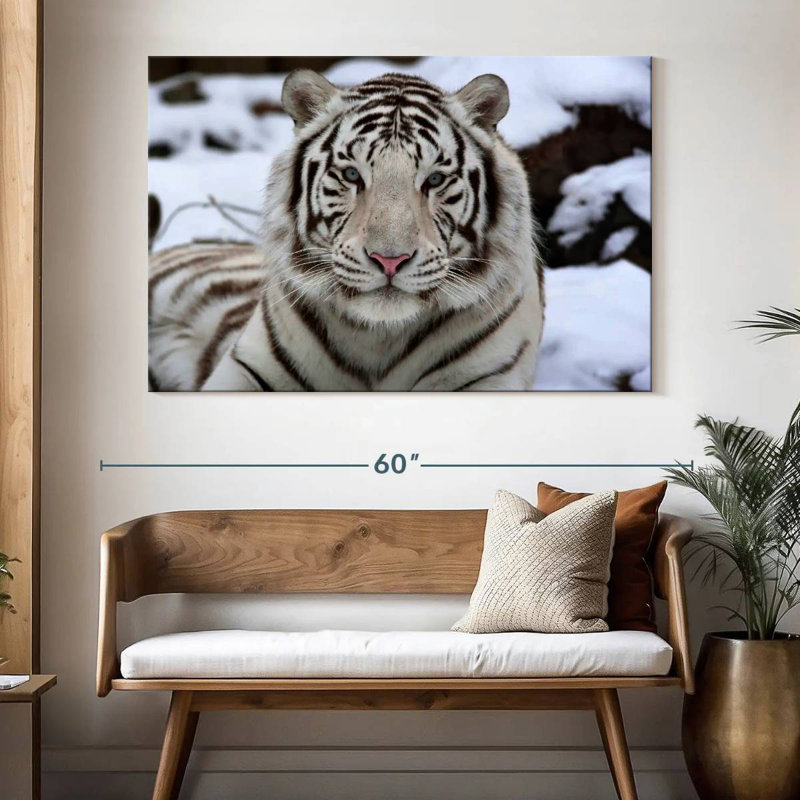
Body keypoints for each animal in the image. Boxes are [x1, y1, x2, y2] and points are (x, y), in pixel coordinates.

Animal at [148, 69, 545, 391]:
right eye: (352, 175)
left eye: (434, 179)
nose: (389, 260)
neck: (380, 338)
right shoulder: (248, 369)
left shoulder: (488, 377)